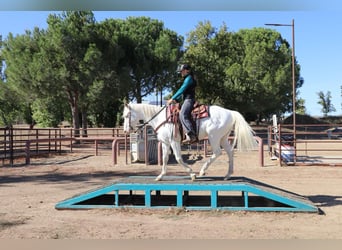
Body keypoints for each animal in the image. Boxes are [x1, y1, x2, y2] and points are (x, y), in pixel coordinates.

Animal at [121, 102, 258, 181]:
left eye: (126, 116)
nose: (125, 130)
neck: (161, 118)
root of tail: (230, 112)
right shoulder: (165, 143)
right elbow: (165, 158)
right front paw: (160, 176)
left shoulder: (174, 142)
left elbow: (178, 158)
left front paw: (192, 174)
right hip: (223, 138)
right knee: (229, 152)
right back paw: (227, 175)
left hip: (214, 137)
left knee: (217, 152)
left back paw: (202, 171)